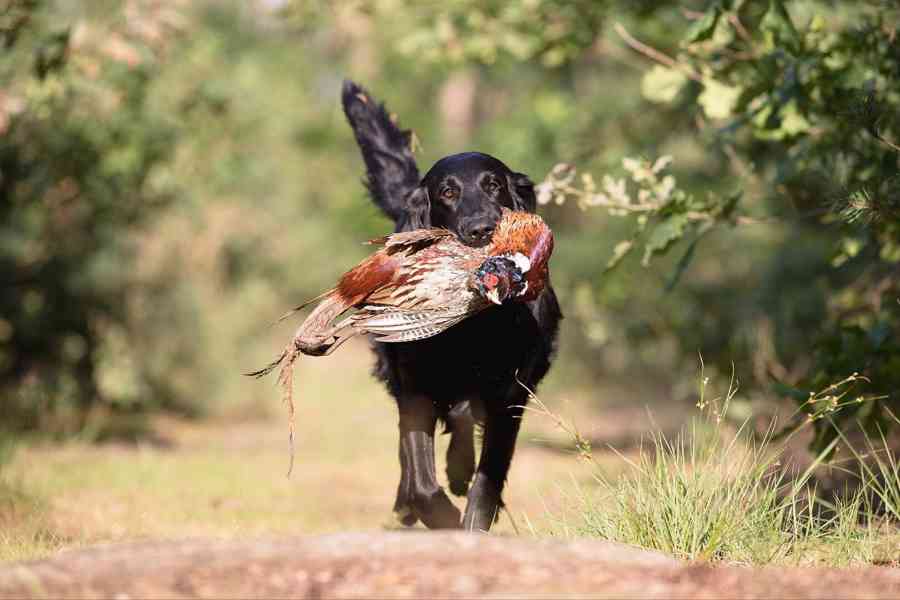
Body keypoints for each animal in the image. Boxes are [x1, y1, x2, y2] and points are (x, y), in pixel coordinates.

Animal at [342, 79, 560, 528]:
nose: (481, 229)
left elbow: (487, 476)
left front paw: (471, 515)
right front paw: (438, 511)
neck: (472, 327)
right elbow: (422, 479)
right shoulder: (413, 385)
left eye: (494, 185)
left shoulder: (509, 393)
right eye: (447, 192)